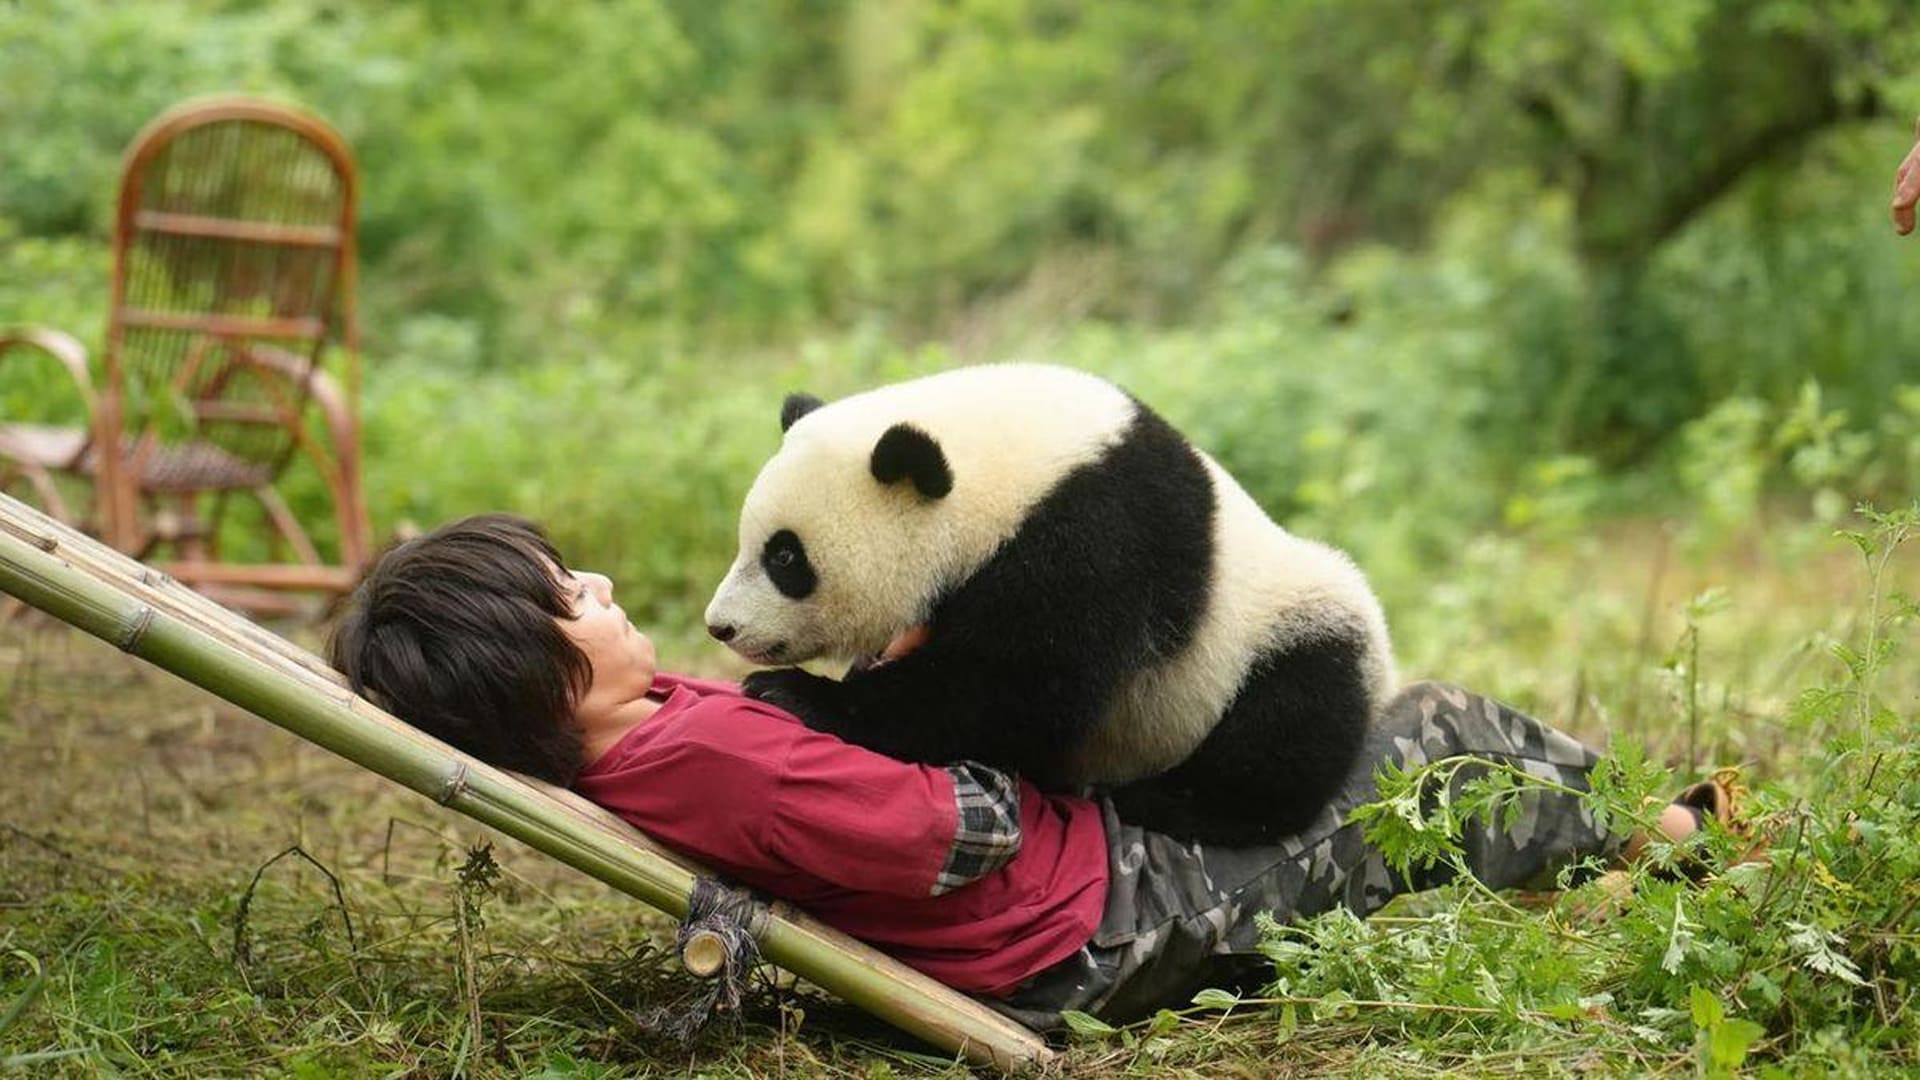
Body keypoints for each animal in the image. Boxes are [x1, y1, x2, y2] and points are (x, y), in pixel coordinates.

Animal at [703, 363, 1396, 845]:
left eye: (786, 558)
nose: (721, 626)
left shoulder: (1095, 539)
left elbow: (1012, 689)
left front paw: (797, 693)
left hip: (1283, 629)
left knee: (1287, 725)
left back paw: (1172, 804)